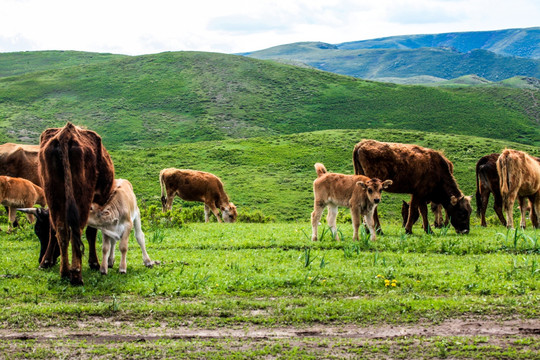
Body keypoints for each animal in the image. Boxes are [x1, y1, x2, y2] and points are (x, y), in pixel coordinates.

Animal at [38, 122, 115, 286]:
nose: (41, 259)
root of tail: (66, 134)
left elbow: (53, 231)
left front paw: (46, 261)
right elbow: (91, 232)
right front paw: (94, 263)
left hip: (54, 196)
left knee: (61, 229)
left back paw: (64, 272)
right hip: (82, 198)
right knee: (76, 230)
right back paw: (76, 274)